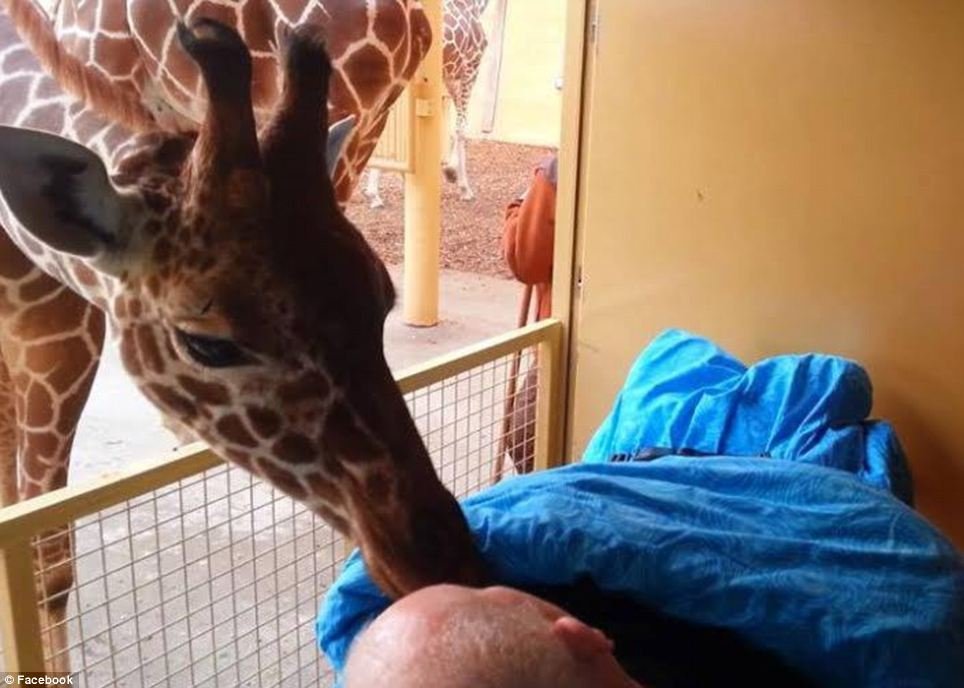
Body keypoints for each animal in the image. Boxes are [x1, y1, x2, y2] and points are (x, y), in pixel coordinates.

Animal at [0, 6, 488, 671]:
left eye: (382, 301)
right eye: (208, 344)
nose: (443, 560)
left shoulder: (58, 322)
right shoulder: (45, 326)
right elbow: (35, 550)